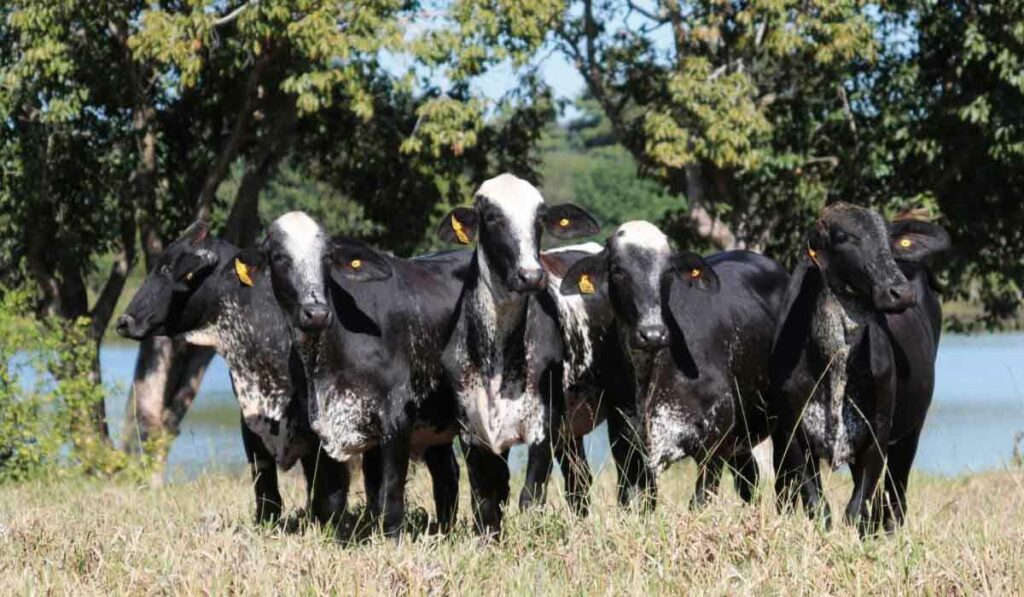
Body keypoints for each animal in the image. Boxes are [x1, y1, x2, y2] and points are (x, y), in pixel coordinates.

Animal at [262, 210, 468, 540]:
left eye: (327, 257)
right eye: (279, 256)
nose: (316, 313)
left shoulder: (397, 416)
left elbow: (390, 494)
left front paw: (392, 540)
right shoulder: (321, 425)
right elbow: (332, 499)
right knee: (447, 474)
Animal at [436, 174, 651, 536]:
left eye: (539, 220)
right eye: (491, 217)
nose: (531, 275)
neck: (496, 357)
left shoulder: (542, 428)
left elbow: (530, 498)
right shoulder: (472, 432)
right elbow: (486, 503)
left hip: (625, 404)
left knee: (633, 469)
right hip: (571, 428)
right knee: (579, 480)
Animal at [557, 223, 786, 509]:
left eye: (668, 271)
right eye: (618, 269)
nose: (652, 333)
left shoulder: (714, 442)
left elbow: (699, 501)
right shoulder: (626, 446)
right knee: (749, 480)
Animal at [774, 202, 950, 536]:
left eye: (889, 239)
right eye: (843, 236)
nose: (900, 292)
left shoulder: (877, 431)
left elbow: (856, 509)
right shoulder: (793, 432)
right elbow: (817, 506)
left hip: (910, 432)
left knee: (894, 498)